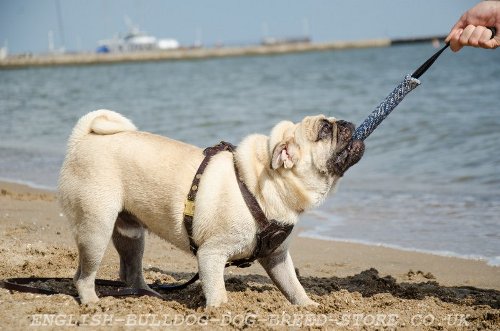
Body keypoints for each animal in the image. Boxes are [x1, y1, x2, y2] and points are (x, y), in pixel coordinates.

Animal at [58, 110, 364, 308]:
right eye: (324, 130)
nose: (345, 123)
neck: (263, 181)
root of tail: (83, 139)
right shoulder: (211, 255)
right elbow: (217, 292)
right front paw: (219, 312)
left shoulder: (276, 257)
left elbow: (293, 286)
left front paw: (310, 306)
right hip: (96, 230)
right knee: (83, 276)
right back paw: (93, 303)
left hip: (131, 234)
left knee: (130, 270)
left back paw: (148, 295)